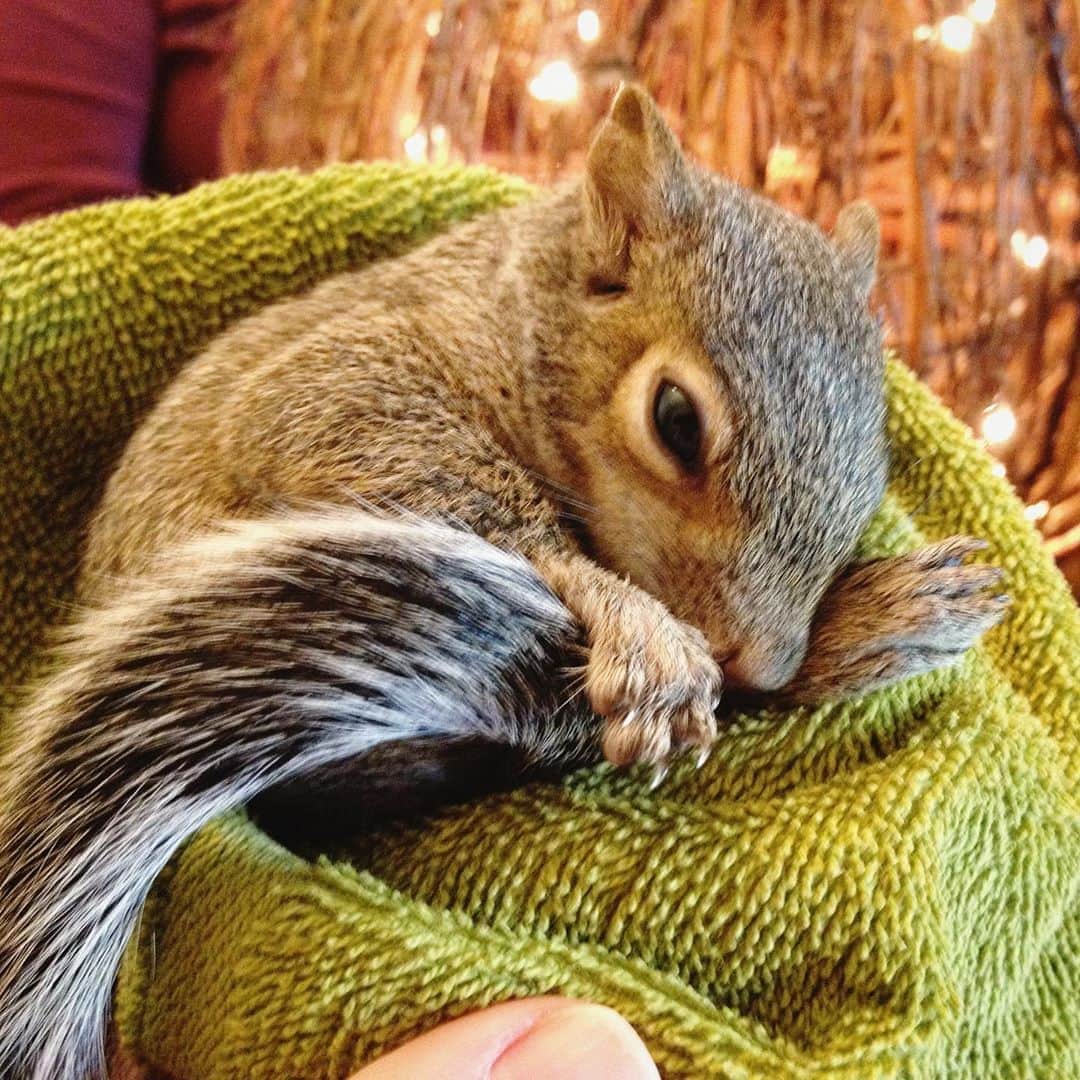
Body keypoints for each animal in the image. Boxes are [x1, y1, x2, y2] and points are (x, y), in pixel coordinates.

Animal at [0, 85, 1008, 1080]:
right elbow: (357, 432)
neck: (522, 307)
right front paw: (635, 621)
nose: (761, 661)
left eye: (878, 464)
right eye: (675, 419)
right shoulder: (344, 377)